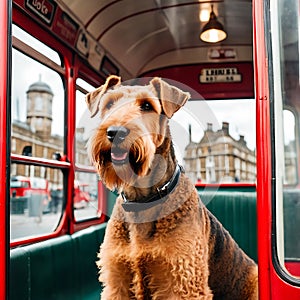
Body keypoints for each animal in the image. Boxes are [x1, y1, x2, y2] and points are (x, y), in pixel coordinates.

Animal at [86, 75, 258, 300]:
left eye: (147, 105)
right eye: (109, 104)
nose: (115, 132)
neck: (142, 200)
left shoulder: (184, 281)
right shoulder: (117, 281)